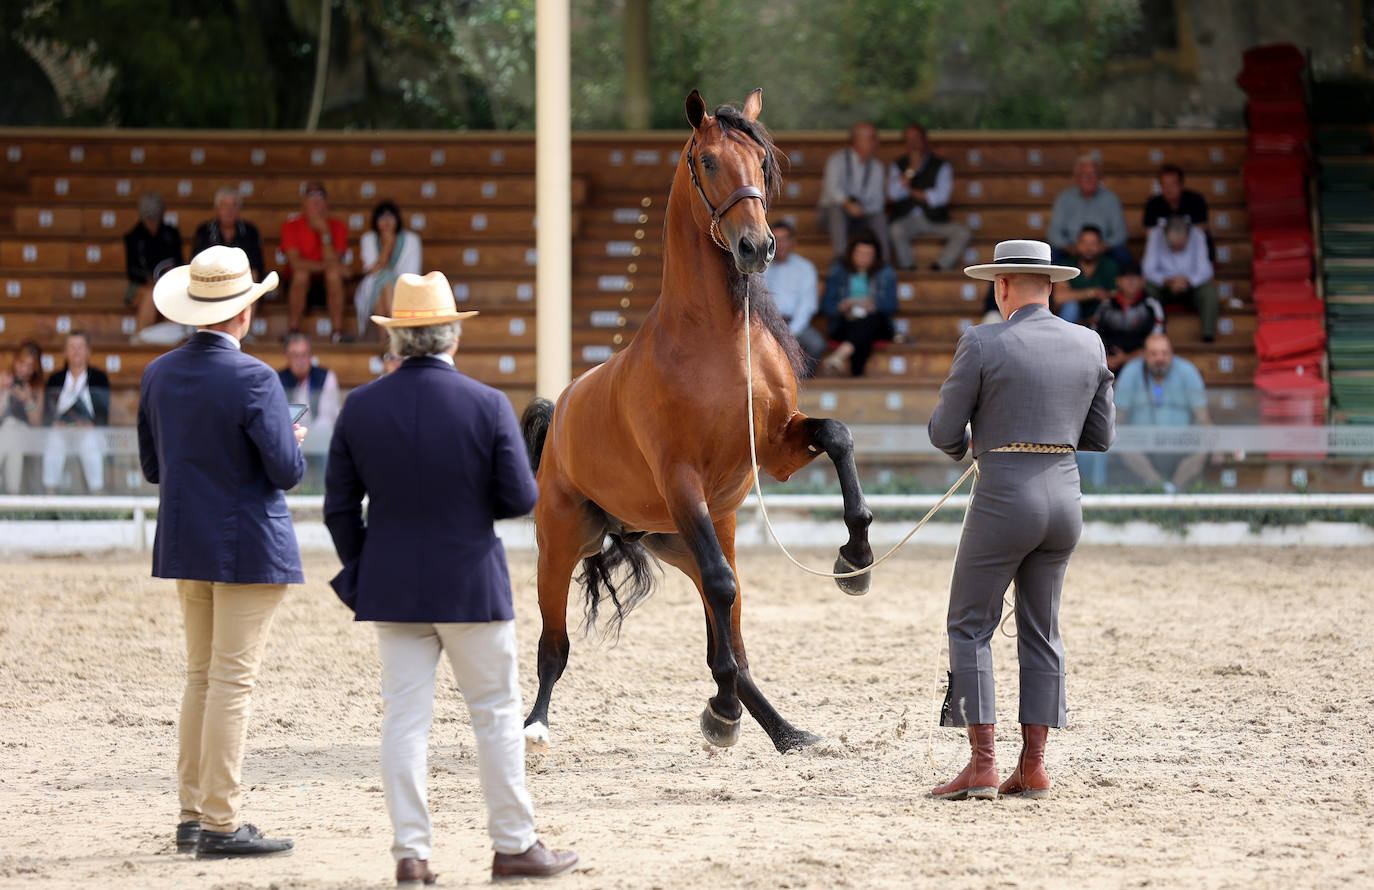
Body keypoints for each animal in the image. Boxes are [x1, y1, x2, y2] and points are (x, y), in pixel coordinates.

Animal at [519, 90, 873, 752]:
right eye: (708, 161)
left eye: (761, 161)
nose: (756, 248)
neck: (715, 339)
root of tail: (563, 408)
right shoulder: (683, 481)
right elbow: (723, 591)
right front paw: (722, 709)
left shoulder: (777, 449)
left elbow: (838, 436)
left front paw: (855, 560)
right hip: (562, 540)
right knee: (556, 645)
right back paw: (535, 726)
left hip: (685, 536)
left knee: (724, 618)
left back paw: (782, 730)